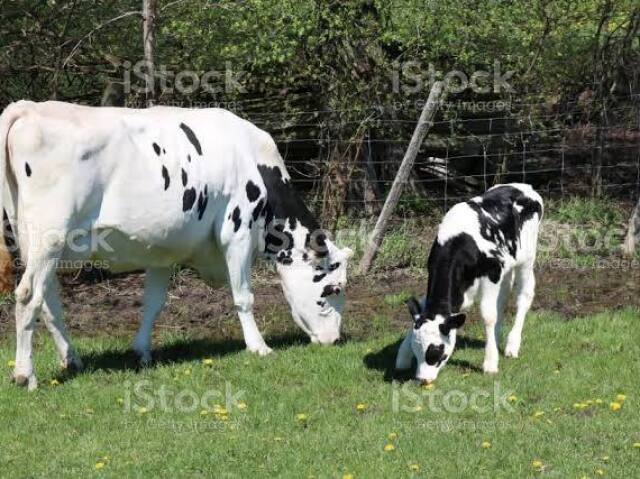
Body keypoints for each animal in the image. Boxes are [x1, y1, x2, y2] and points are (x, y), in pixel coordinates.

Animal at [398, 182, 544, 384]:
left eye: (437, 351)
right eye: (416, 350)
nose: (423, 379)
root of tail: (524, 186)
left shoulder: (492, 274)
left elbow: (488, 315)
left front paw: (490, 364)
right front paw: (402, 357)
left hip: (526, 259)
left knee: (523, 297)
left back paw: (512, 345)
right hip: (507, 266)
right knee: (503, 298)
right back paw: (496, 338)